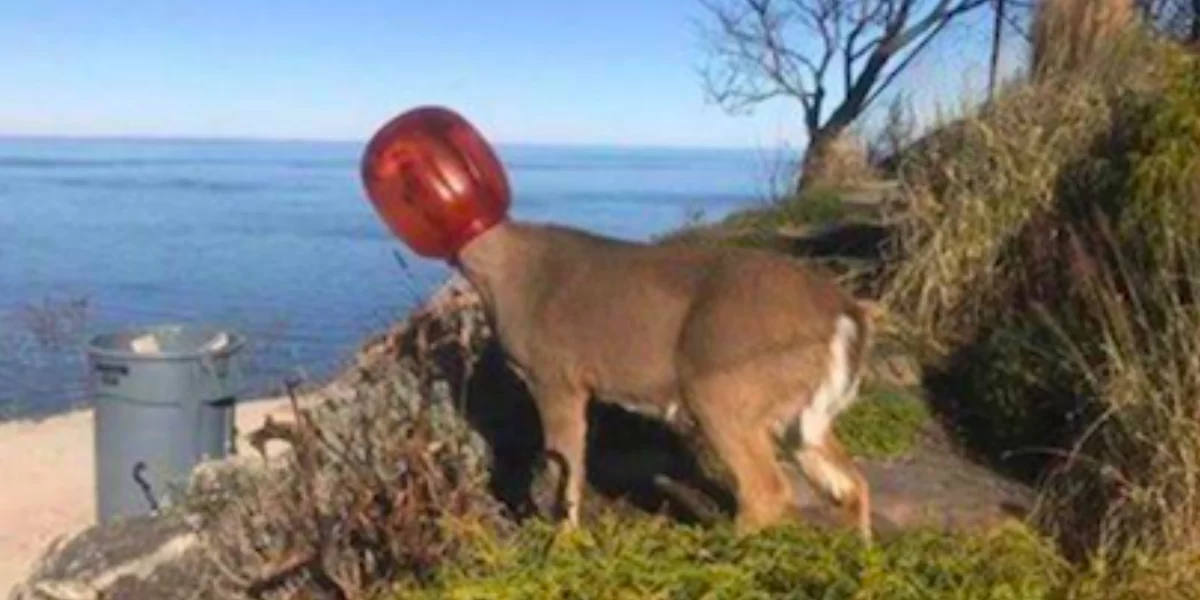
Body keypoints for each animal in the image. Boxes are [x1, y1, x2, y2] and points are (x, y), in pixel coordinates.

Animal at [359, 106, 877, 541]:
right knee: (852, 482)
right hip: (799, 410)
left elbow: (566, 463)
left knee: (768, 490)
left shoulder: (556, 375)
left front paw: (563, 541)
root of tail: (844, 313)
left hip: (724, 383)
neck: (505, 271)